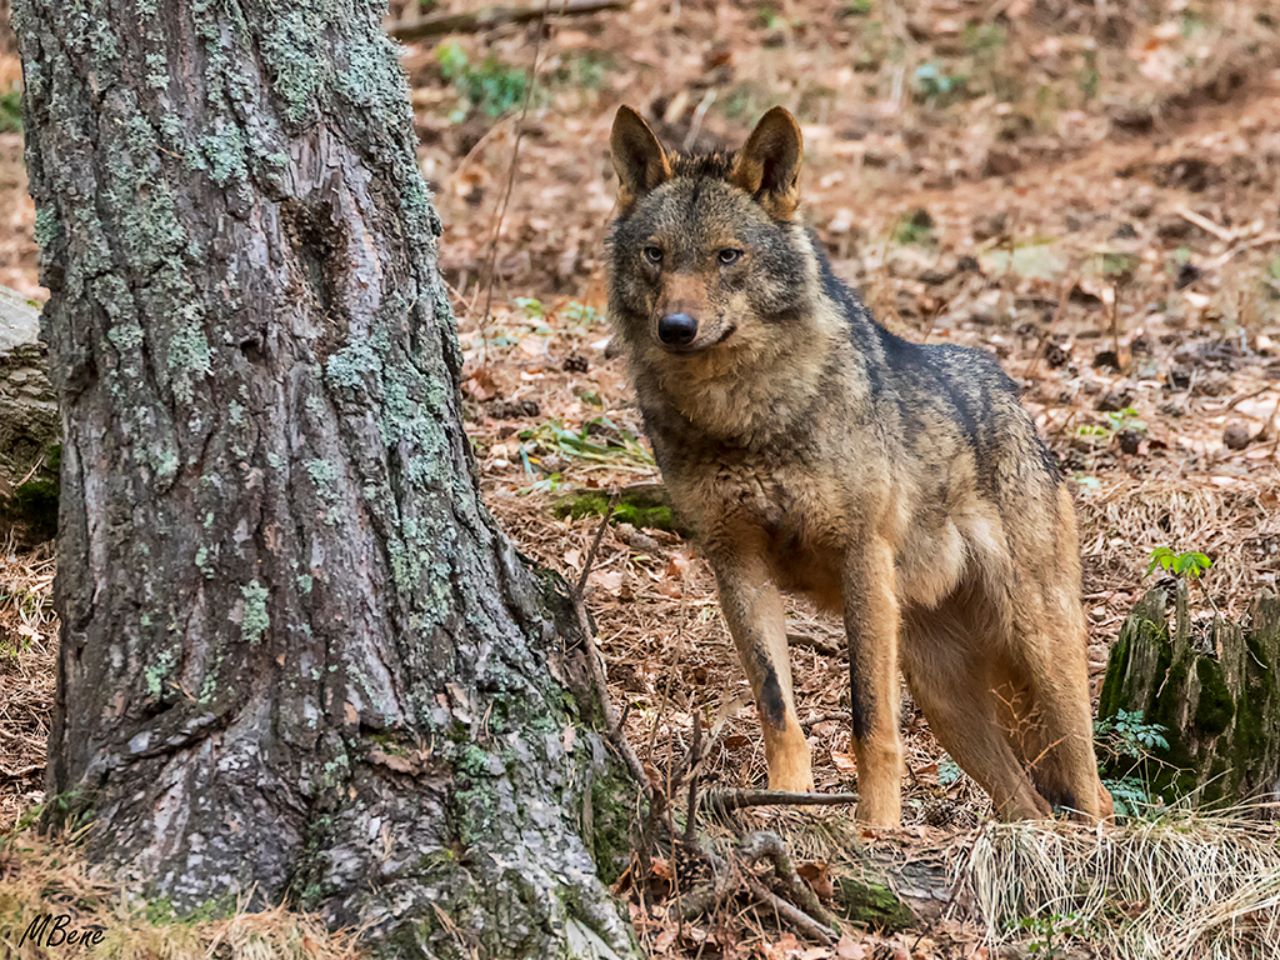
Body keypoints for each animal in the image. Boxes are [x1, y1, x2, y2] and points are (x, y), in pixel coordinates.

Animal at [605, 105, 1113, 825]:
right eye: (656, 254)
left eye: (728, 256)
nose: (675, 327)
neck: (742, 417)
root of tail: (1013, 396)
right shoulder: (735, 563)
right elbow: (776, 707)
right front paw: (785, 804)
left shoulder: (861, 556)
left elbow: (870, 717)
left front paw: (875, 827)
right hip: (945, 696)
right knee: (1029, 805)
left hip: (1040, 650)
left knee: (1092, 786)